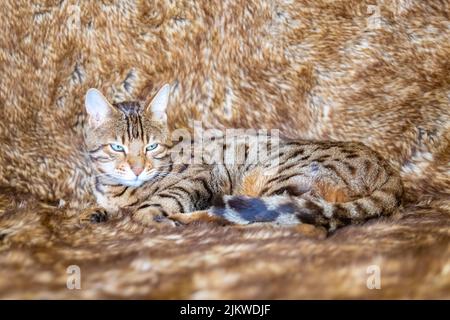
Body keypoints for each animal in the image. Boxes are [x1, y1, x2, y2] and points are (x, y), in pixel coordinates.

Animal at [82, 84, 402, 231]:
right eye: (117, 147)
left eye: (151, 147)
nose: (137, 169)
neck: (118, 189)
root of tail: (387, 168)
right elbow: (103, 208)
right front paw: (93, 213)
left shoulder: (199, 175)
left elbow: (149, 206)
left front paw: (150, 216)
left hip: (280, 178)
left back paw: (185, 219)